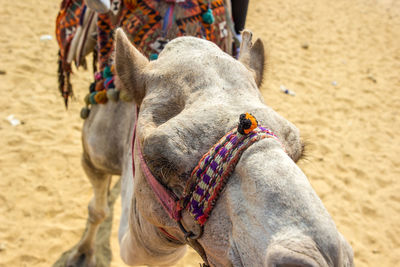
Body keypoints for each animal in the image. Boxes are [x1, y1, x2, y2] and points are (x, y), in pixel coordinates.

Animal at [64, 27, 354, 267]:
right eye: (160, 160)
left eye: (298, 151)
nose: (325, 257)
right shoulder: (91, 157)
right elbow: (97, 210)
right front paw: (82, 255)